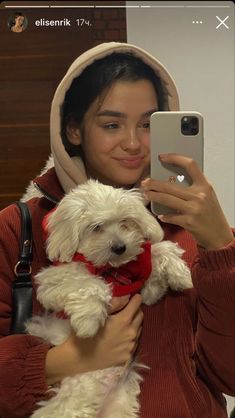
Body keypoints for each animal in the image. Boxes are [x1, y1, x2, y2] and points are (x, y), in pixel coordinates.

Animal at [28, 180, 193, 418]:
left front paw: (180, 276)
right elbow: (88, 281)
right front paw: (88, 323)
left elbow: (158, 252)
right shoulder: (52, 281)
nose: (120, 247)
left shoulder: (137, 277)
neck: (111, 269)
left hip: (118, 405)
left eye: (126, 222)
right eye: (96, 227)